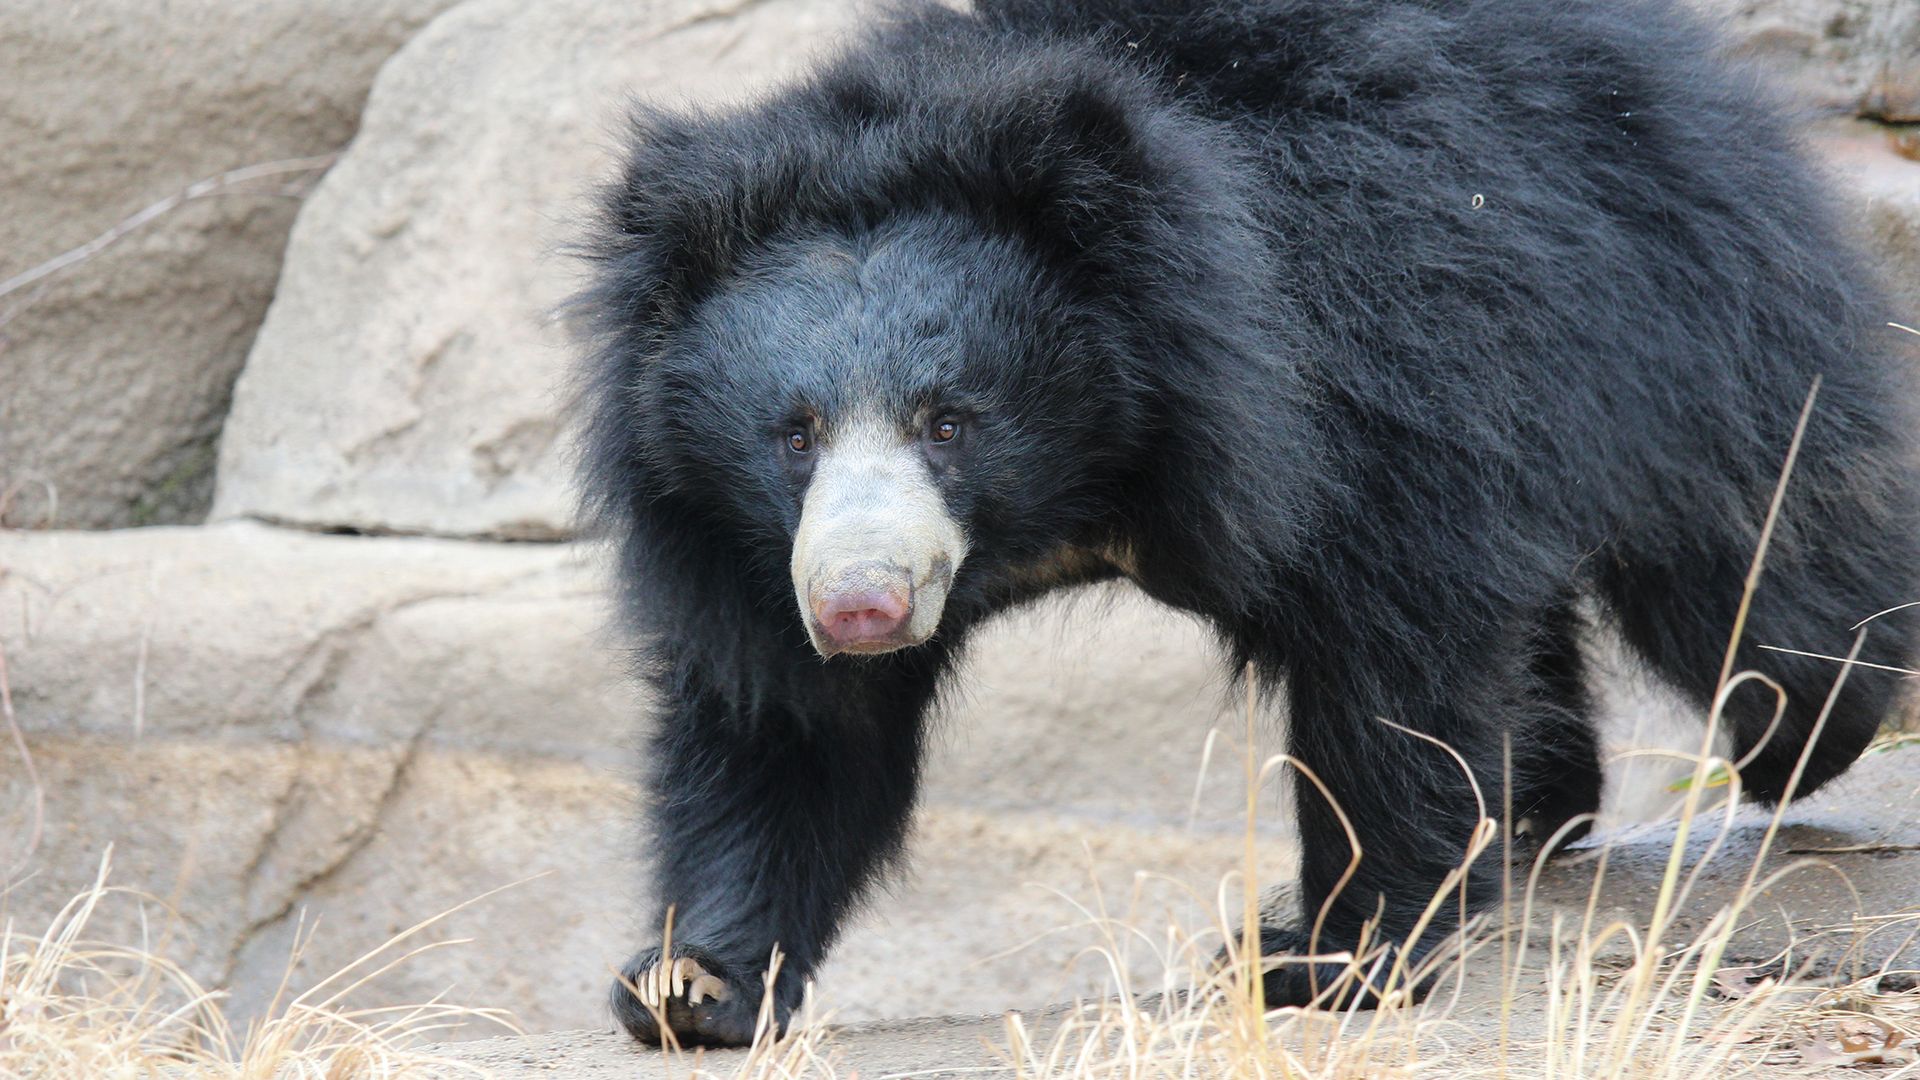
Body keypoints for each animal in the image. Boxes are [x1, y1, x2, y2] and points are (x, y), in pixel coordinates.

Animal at [573, 0, 1920, 1049]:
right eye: (792, 435)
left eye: (949, 421)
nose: (860, 605)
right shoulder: (730, 536)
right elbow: (792, 729)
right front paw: (692, 980)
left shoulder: (1365, 369)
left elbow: (1395, 660)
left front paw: (1323, 961)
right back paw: (1540, 810)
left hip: (1662, 284)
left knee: (1752, 543)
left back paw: (1812, 726)